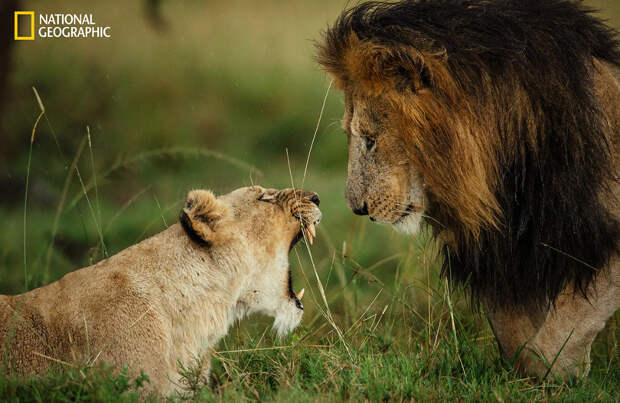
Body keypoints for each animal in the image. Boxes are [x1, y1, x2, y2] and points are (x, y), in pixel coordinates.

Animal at [320, 0, 620, 378]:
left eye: (371, 140)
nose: (356, 207)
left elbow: (554, 340)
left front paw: (564, 373)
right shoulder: (504, 254)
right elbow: (516, 341)